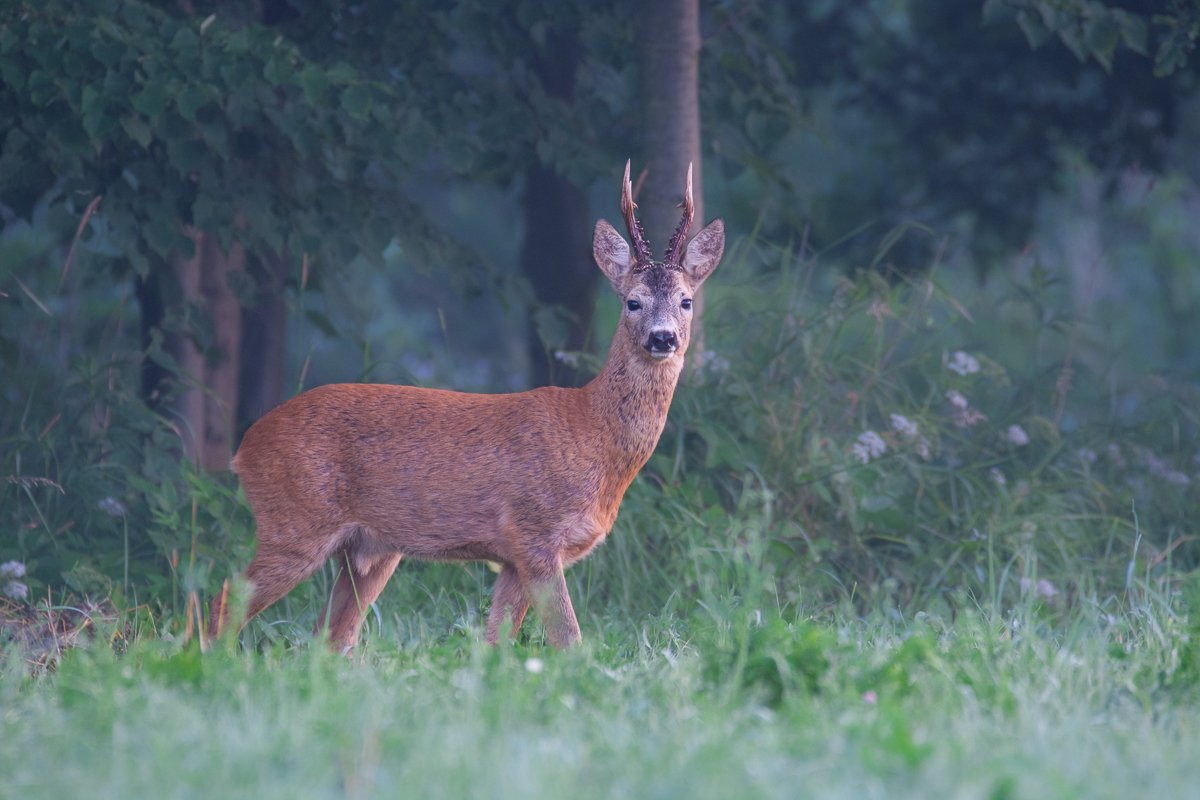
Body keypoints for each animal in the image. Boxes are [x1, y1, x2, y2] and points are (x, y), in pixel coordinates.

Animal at [211, 160, 724, 652]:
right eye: (633, 302)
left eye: (686, 301)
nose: (663, 337)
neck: (592, 435)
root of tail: (244, 448)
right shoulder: (534, 534)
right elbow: (569, 640)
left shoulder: (513, 558)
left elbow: (495, 642)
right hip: (296, 522)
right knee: (227, 598)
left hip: (369, 551)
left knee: (328, 637)